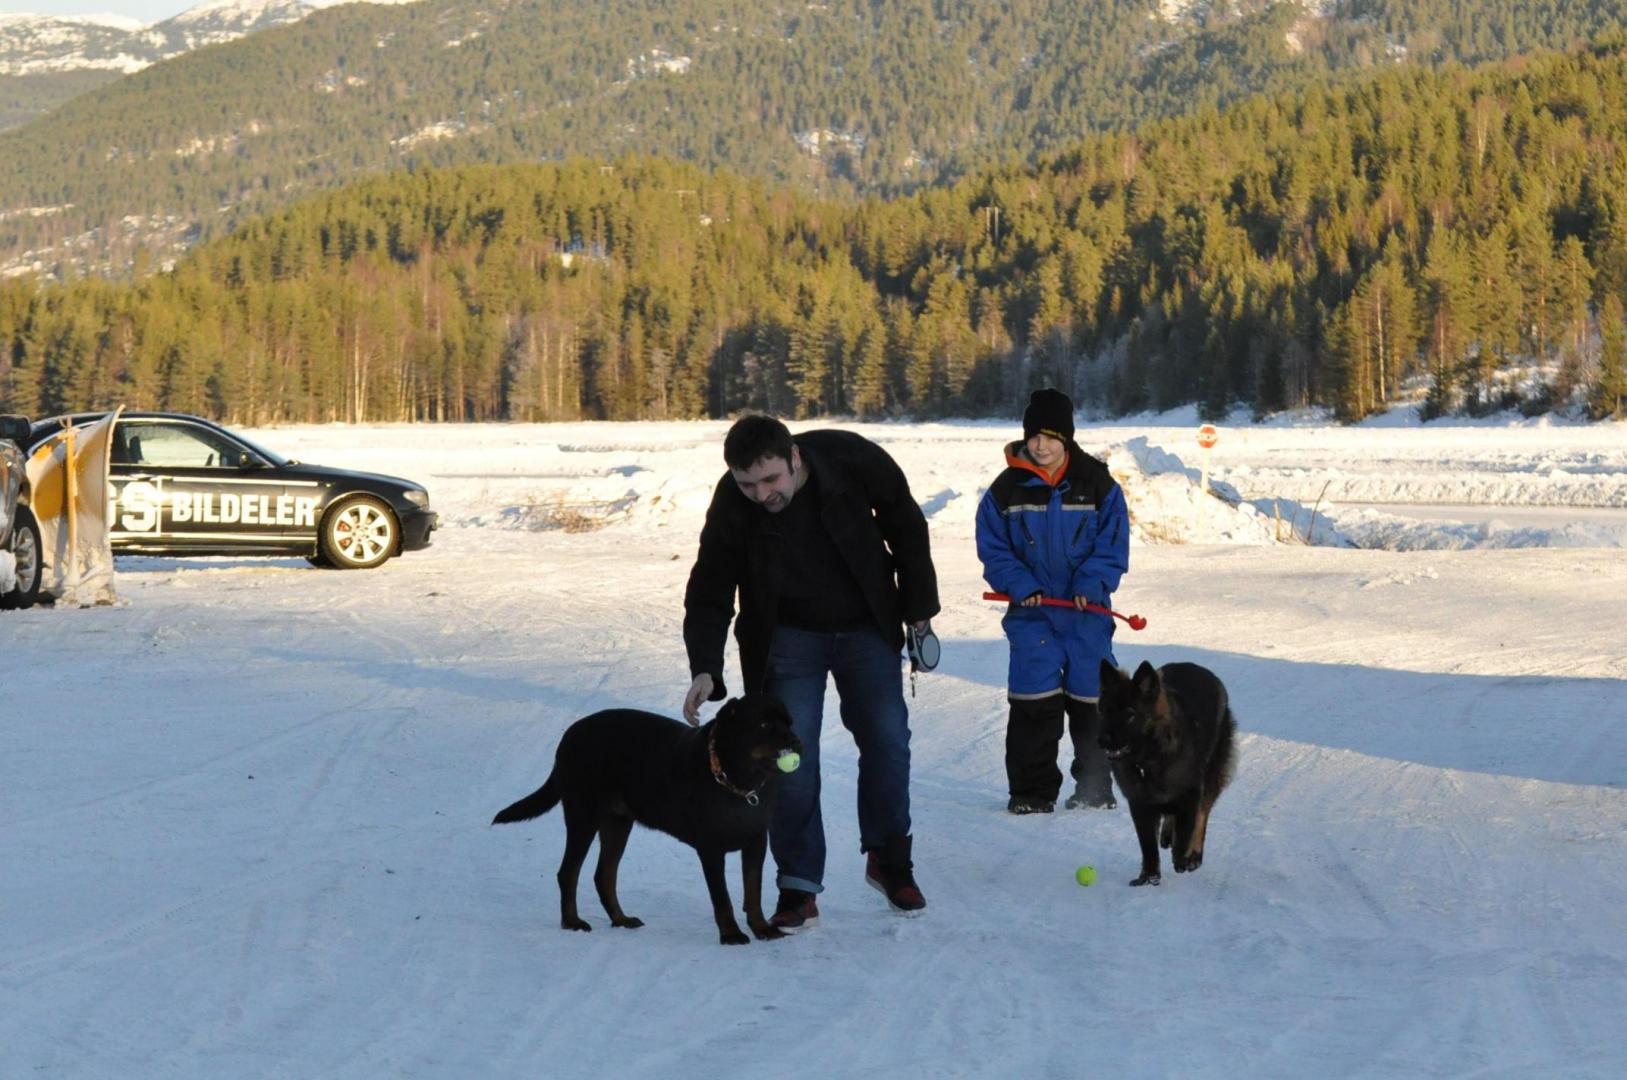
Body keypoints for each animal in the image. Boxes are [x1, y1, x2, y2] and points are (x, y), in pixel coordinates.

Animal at [491, 694, 802, 945]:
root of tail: (567, 737)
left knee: (604, 874)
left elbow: (753, 891)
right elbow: (722, 898)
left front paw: (762, 928)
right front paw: (731, 935)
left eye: (789, 723)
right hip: (582, 815)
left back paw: (621, 919)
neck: (738, 780)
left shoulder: (756, 840)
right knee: (569, 872)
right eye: (764, 725)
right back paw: (573, 922)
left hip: (617, 822)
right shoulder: (711, 848)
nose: (796, 741)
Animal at [1097, 659, 1237, 886]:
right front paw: (1149, 876)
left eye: (1129, 714)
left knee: (1202, 815)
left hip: (1211, 775)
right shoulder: (1140, 804)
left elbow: (1186, 830)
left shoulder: (1191, 794)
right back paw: (1167, 835)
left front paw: (1181, 859)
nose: (1102, 740)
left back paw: (1194, 855)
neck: (1149, 760)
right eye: (1104, 711)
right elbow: (1148, 846)